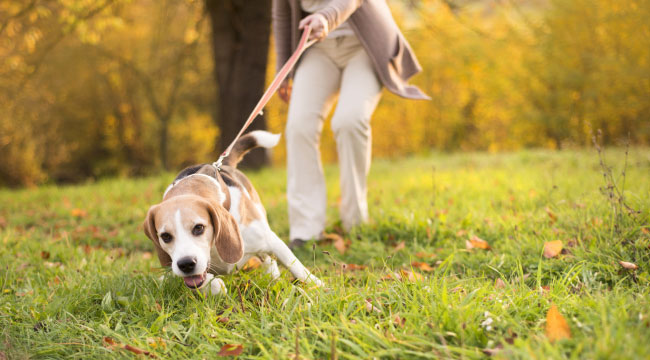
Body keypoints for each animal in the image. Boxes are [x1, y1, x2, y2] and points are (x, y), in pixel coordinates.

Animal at [144, 131, 322, 294]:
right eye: (165, 236)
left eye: (199, 228)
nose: (186, 264)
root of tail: (223, 164)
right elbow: (204, 281)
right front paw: (215, 285)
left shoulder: (270, 239)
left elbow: (295, 265)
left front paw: (317, 285)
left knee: (268, 259)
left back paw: (273, 275)